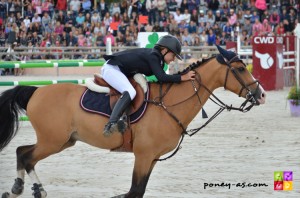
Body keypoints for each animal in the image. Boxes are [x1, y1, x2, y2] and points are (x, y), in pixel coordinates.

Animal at [0, 45, 264, 197]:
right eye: (241, 69)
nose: (261, 95)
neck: (169, 104)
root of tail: (36, 91)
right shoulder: (144, 155)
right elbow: (134, 191)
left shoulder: (152, 158)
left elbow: (138, 191)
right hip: (53, 141)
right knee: (26, 155)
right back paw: (26, 189)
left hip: (64, 141)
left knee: (23, 152)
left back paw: (25, 189)